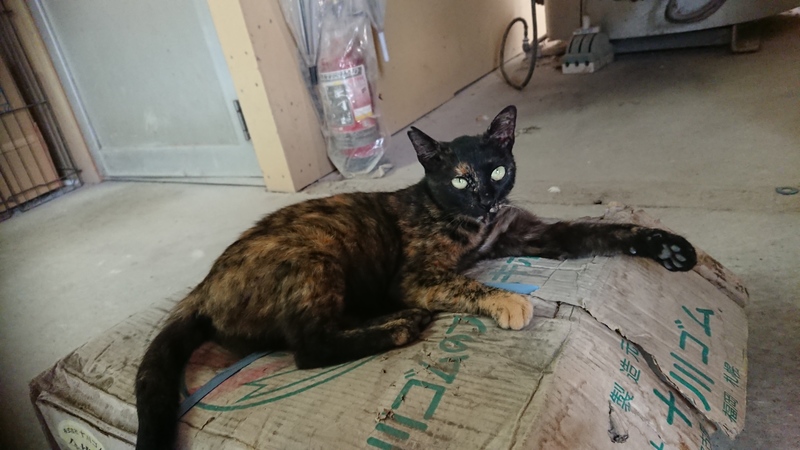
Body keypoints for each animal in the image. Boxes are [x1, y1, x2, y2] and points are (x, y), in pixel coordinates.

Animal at [134, 105, 696, 449]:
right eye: (459, 180)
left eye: (496, 172)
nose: (485, 199)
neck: (474, 225)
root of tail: (204, 285)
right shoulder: (416, 278)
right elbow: (467, 283)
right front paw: (509, 302)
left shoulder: (530, 234)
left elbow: (599, 230)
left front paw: (669, 245)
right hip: (315, 253)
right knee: (309, 347)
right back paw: (402, 324)